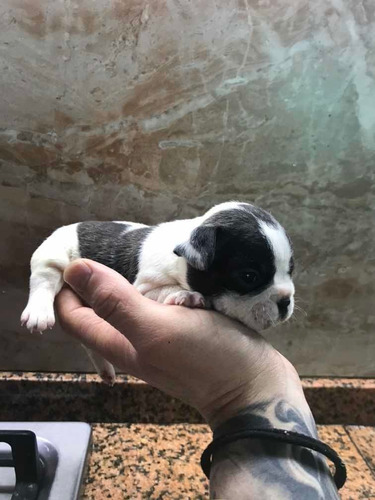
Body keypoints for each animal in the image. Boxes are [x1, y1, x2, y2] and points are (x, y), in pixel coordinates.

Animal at [21, 201, 296, 384]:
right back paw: (39, 312)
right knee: (43, 281)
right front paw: (187, 296)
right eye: (249, 277)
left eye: (291, 271)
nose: (285, 301)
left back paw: (106, 371)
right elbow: (166, 289)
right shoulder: (145, 287)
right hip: (52, 255)